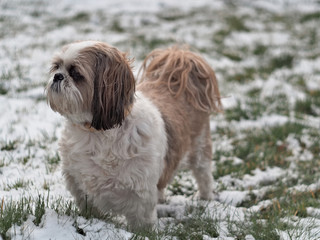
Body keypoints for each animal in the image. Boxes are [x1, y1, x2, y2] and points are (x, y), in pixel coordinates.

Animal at [45, 40, 222, 229]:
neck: (96, 132)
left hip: (200, 149)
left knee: (203, 175)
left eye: (75, 73)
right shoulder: (79, 185)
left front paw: (143, 233)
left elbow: (141, 222)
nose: (58, 76)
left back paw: (205, 198)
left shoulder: (140, 194)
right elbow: (90, 209)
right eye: (56, 66)